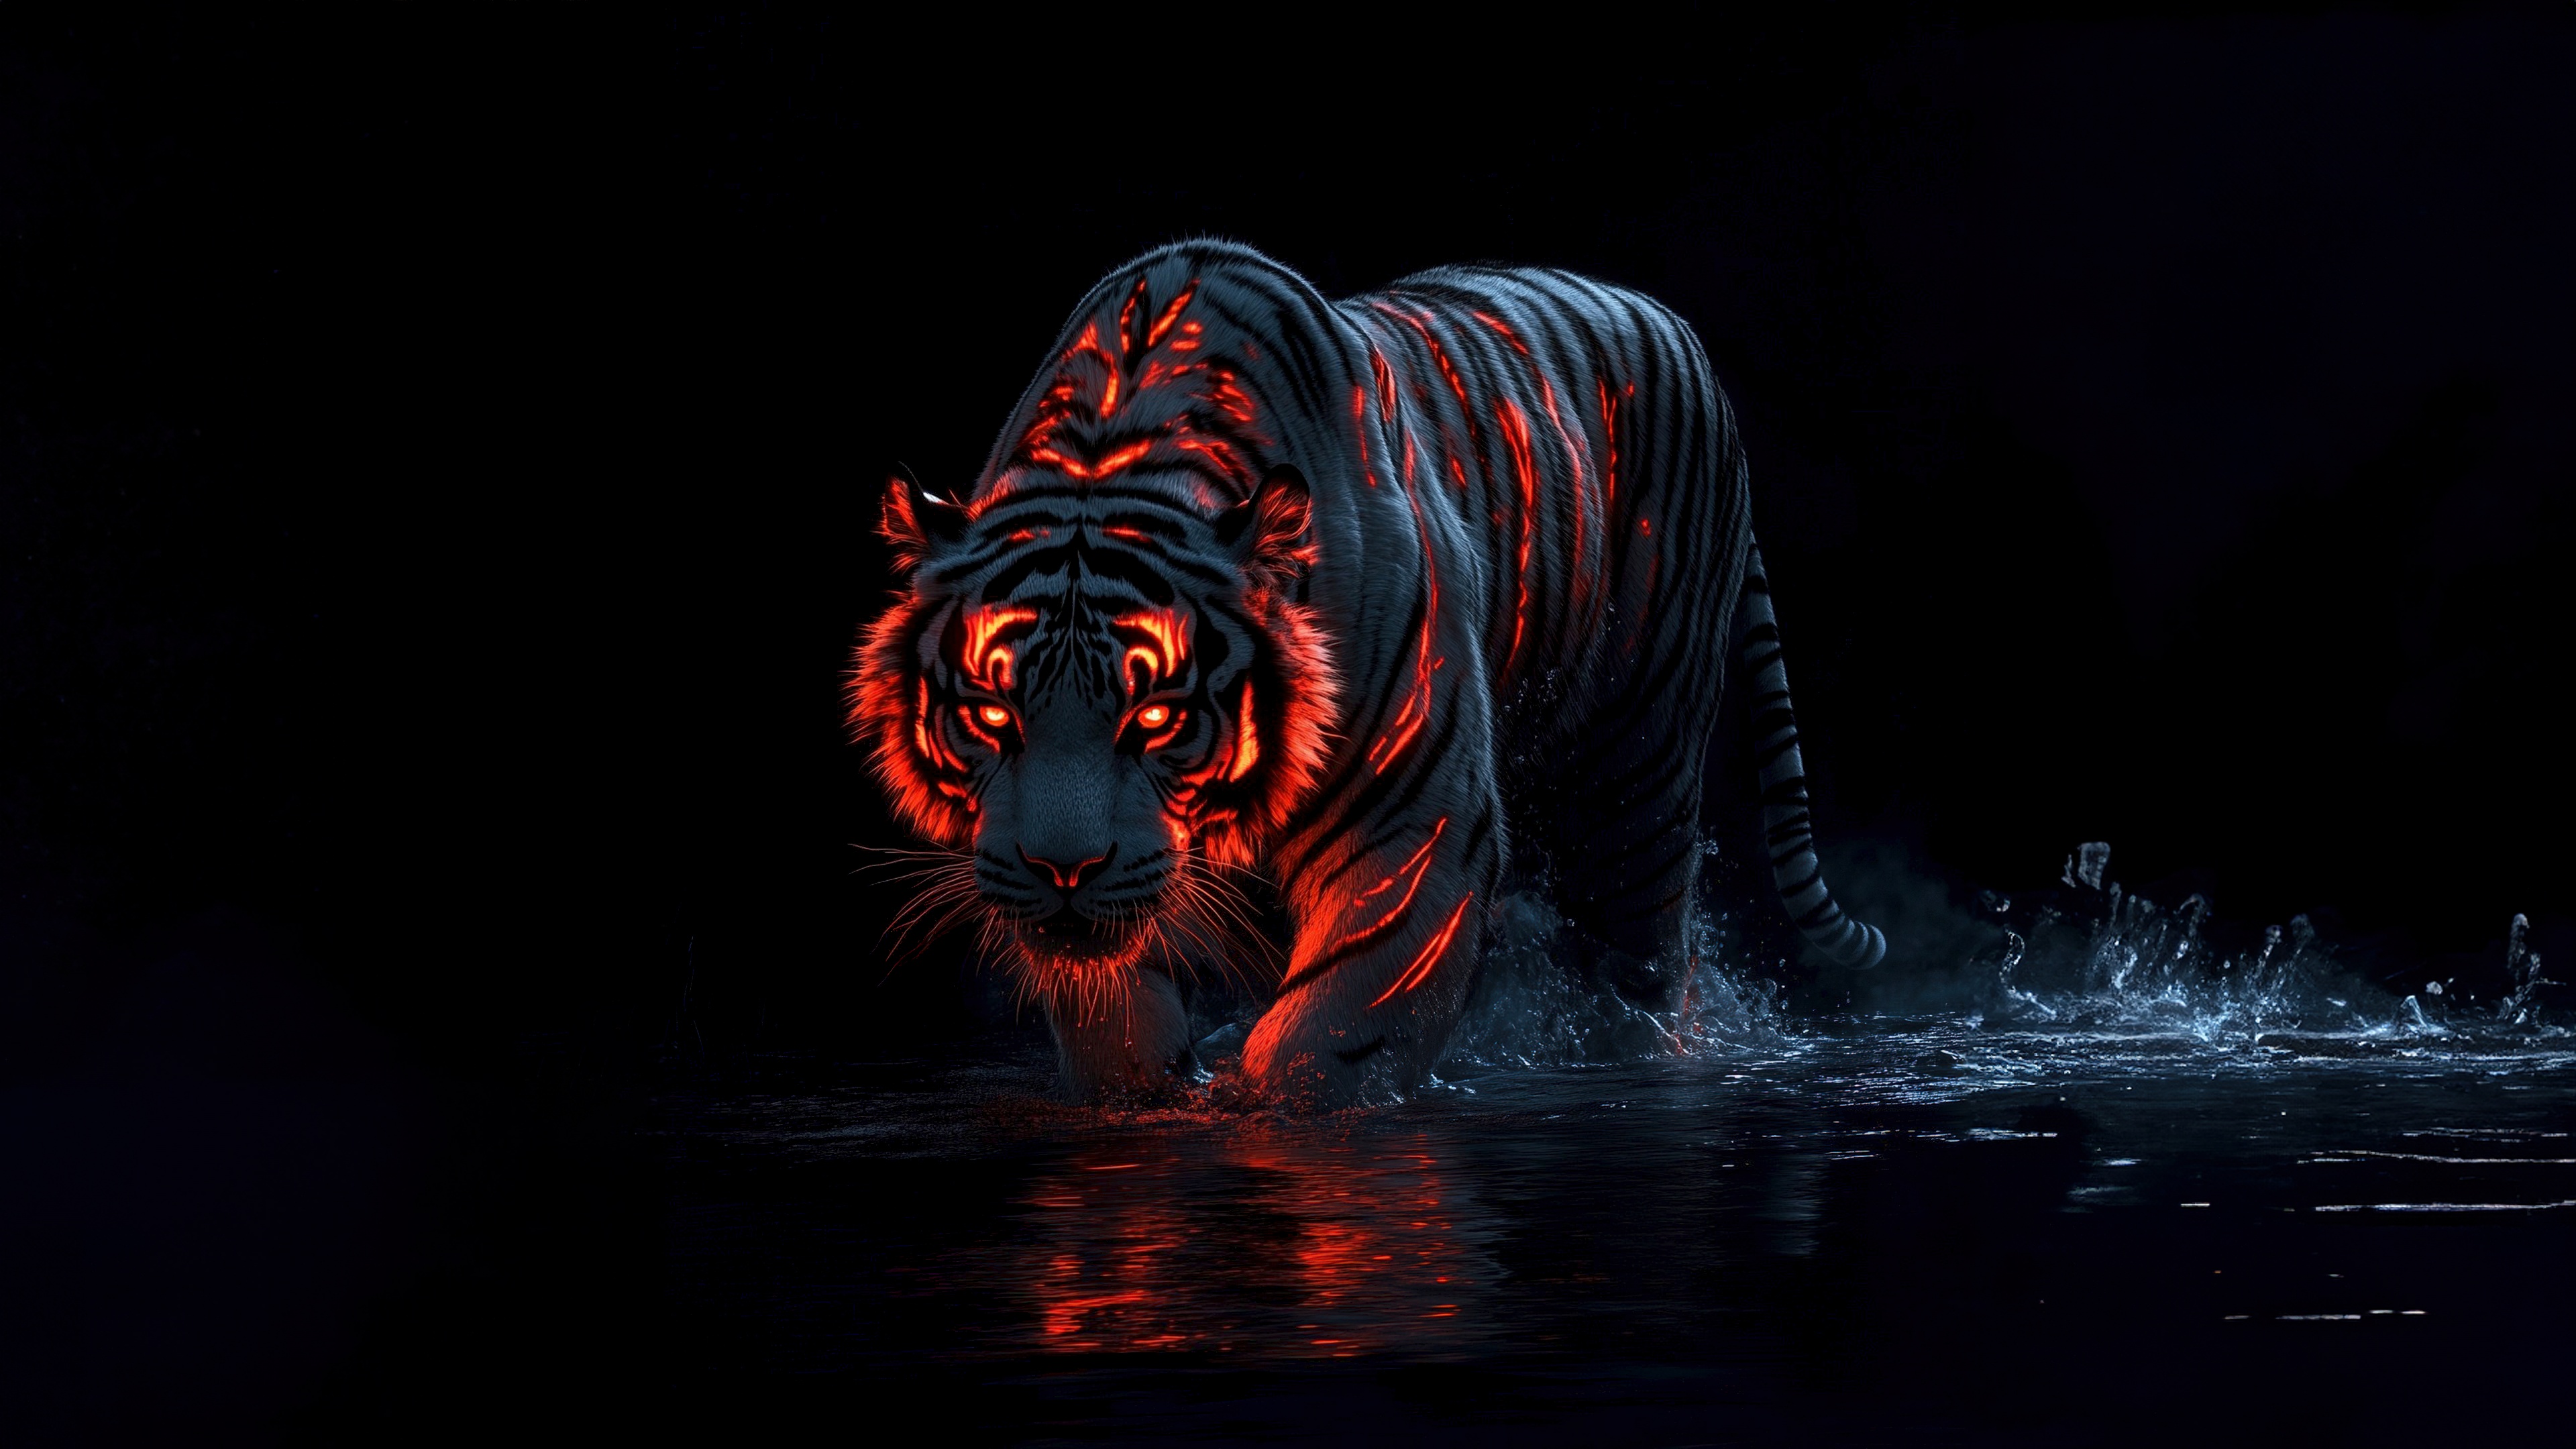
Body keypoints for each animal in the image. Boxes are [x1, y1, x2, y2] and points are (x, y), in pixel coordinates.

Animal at [852, 239, 1884, 1107]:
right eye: (993, 715)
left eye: (1154, 719)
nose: (1063, 870)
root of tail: (1676, 327)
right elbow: (1112, 1016)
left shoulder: (1414, 820)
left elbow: (1338, 1032)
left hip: (1637, 773)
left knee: (1638, 960)